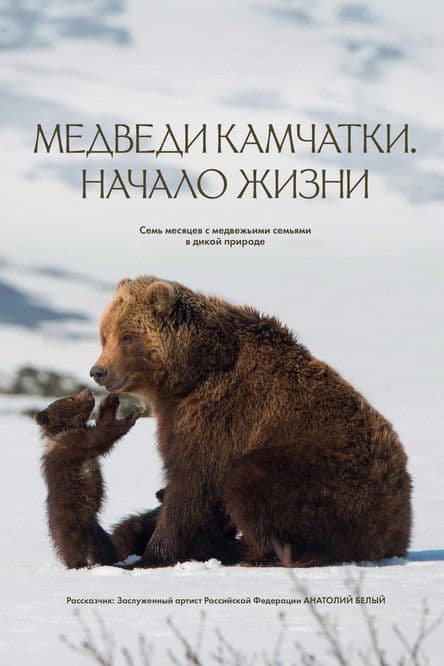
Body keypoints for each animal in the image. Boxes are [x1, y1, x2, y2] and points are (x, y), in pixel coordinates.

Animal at [37, 389, 142, 568]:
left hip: (94, 529)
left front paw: (112, 400)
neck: (65, 430)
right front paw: (130, 414)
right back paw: (79, 563)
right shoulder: (73, 446)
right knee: (72, 544)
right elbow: (101, 435)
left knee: (103, 545)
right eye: (70, 397)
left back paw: (108, 560)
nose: (87, 391)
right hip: (70, 518)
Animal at [90, 276, 412, 567]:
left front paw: (150, 555)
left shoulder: (218, 415)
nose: (98, 371)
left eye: (128, 336)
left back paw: (258, 554)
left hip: (330, 476)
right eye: (105, 335)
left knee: (249, 481)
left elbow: (191, 484)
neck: (188, 374)